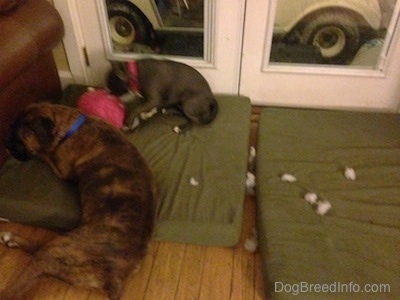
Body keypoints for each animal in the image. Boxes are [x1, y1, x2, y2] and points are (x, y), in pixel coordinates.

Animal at [0, 102, 156, 298]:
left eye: (19, 138)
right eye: (10, 127)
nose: (5, 143)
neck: (72, 127)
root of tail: (116, 275)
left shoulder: (61, 169)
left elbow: (44, 155)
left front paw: (41, 153)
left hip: (57, 251)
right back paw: (10, 239)